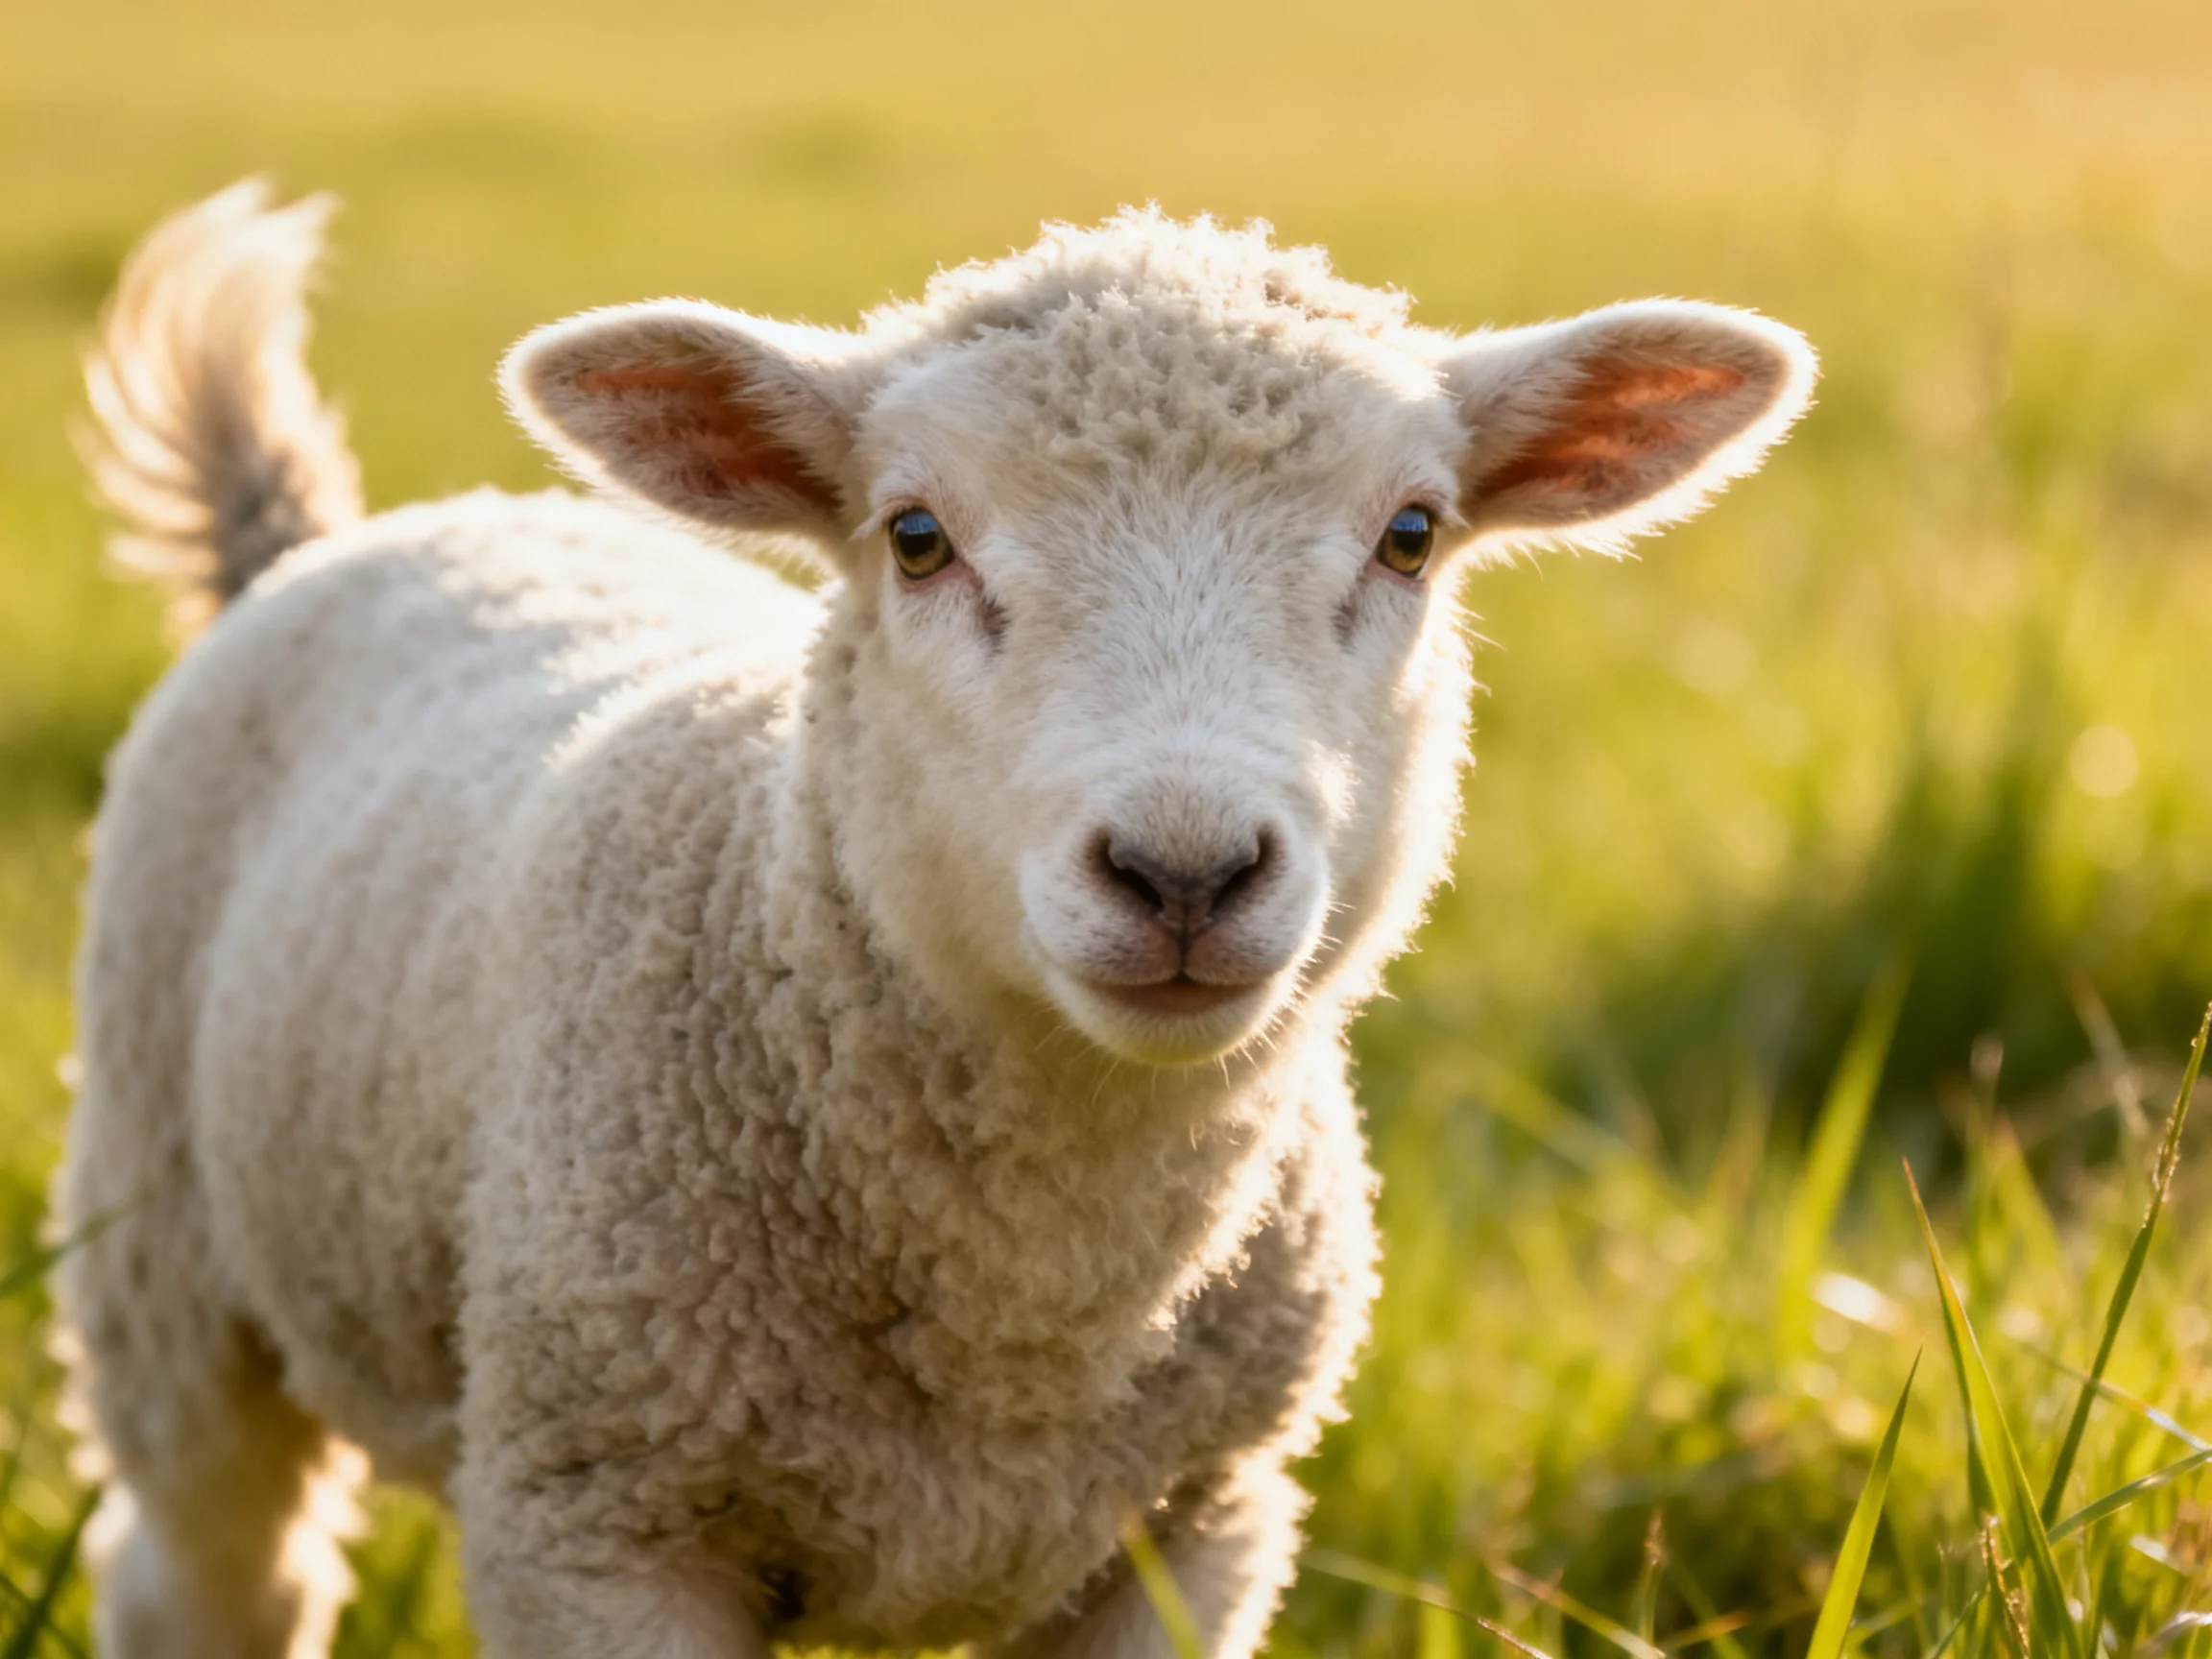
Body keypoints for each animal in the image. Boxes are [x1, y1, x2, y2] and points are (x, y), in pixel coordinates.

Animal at [52, 178, 1816, 1659]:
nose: (1184, 871)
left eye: (1411, 534)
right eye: (914, 537)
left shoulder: (1198, 1526)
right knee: (212, 1574)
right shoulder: (600, 1519)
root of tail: (345, 533)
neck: (1026, 1320)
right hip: (163, 1254)